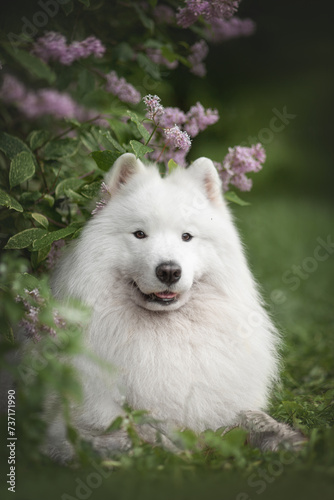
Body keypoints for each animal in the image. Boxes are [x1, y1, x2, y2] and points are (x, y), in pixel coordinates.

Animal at [47, 153, 306, 460]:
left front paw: (286, 439)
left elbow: (250, 418)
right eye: (140, 234)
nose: (169, 271)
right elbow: (137, 434)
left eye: (186, 236)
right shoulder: (73, 424)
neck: (166, 337)